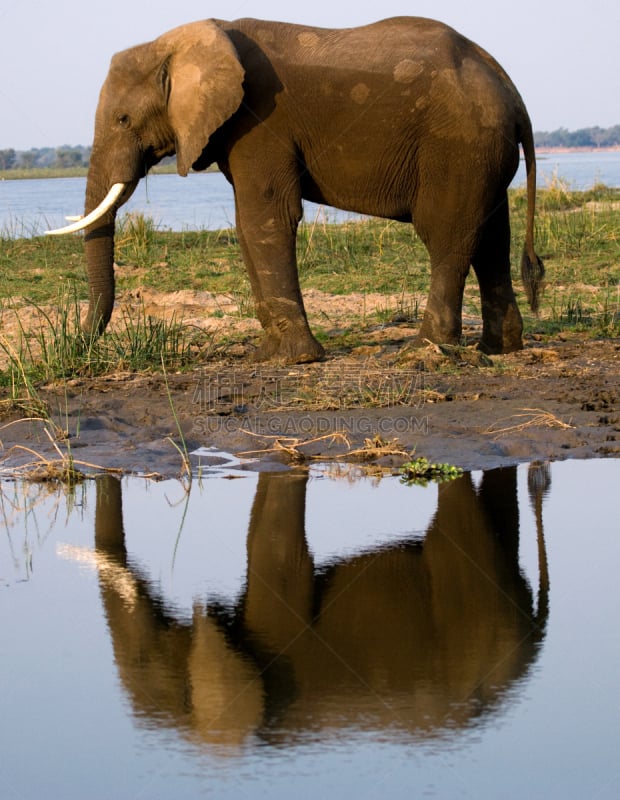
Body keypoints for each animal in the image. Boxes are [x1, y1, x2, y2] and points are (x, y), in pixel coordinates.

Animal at [47, 17, 544, 360]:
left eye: (123, 120)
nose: (75, 345)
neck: (185, 40)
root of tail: (512, 92)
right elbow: (246, 224)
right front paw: (266, 356)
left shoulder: (260, 121)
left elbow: (265, 217)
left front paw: (295, 360)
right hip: (482, 152)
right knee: (491, 236)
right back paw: (500, 348)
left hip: (457, 144)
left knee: (445, 234)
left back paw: (423, 351)